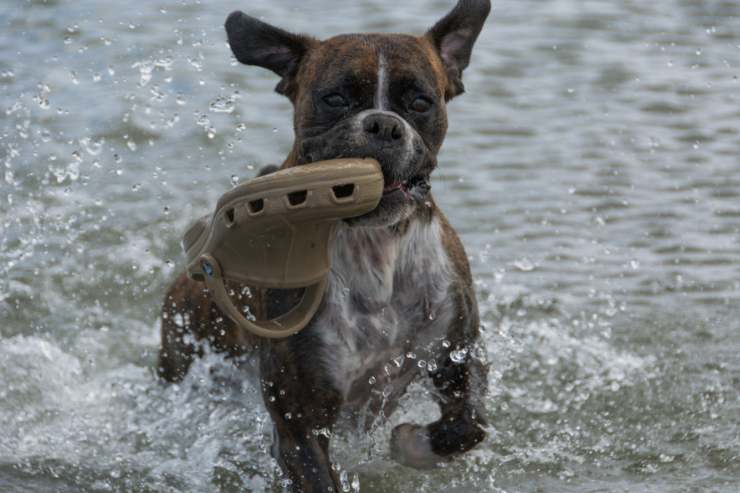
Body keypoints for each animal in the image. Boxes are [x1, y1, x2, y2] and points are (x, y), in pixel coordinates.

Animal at [156, 1, 492, 490]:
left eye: (419, 102)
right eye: (334, 99)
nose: (383, 124)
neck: (375, 247)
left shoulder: (459, 356)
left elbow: (468, 425)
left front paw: (411, 444)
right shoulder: (300, 421)